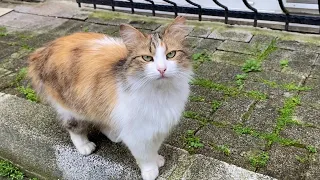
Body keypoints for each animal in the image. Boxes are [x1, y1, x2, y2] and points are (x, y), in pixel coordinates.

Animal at [27, 15, 192, 180]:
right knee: (74, 127)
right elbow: (144, 155)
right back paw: (84, 146)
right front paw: (150, 170)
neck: (160, 92)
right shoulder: (137, 132)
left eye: (171, 55)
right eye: (147, 58)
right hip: (73, 107)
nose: (162, 69)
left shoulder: (158, 126)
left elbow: (154, 147)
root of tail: (43, 50)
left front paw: (157, 159)